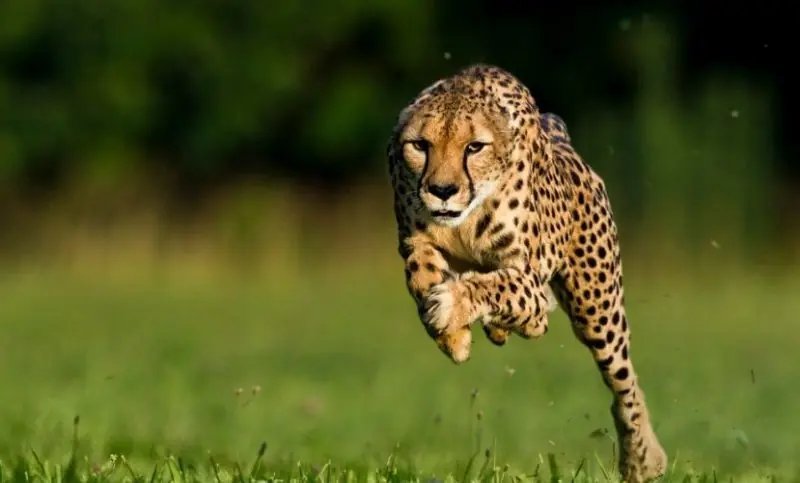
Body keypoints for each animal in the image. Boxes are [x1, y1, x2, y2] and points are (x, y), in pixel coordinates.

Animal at [385, 63, 667, 483]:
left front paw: (452, 306)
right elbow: (421, 273)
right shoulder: (414, 240)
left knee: (624, 383)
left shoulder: (529, 279)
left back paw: (642, 459)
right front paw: (453, 336)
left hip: (596, 309)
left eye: (474, 147)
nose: (442, 190)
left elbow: (498, 286)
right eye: (420, 145)